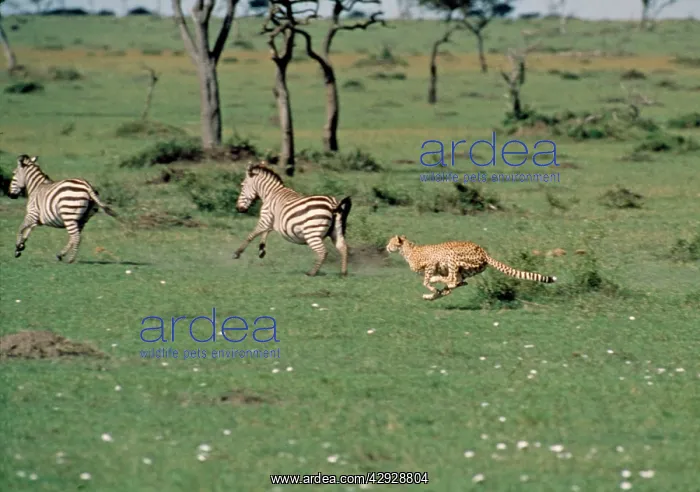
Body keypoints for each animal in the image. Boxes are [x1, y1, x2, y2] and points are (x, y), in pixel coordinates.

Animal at [386, 235, 557, 300]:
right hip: (466, 269)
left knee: (452, 280)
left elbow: (426, 280)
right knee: (457, 282)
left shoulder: (431, 264)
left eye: (391, 242)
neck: (408, 249)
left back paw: (437, 282)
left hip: (452, 256)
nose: (386, 247)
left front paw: (432, 287)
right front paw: (432, 294)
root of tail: (483, 251)